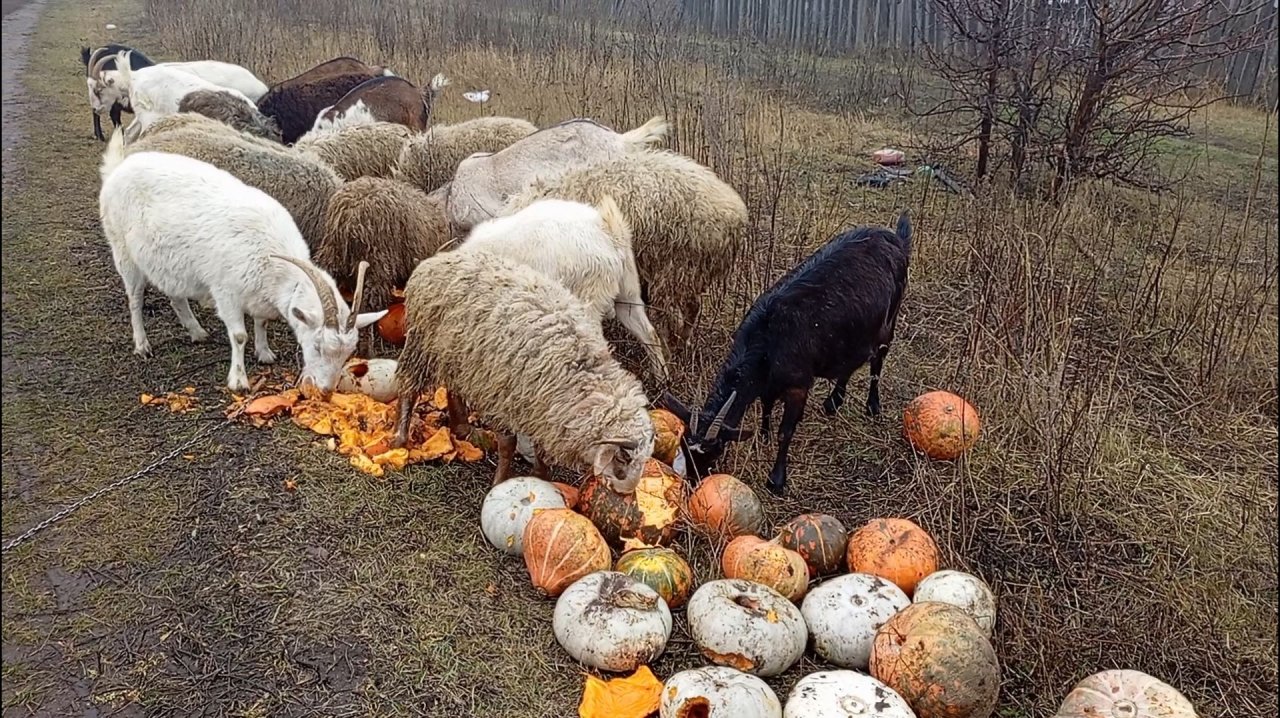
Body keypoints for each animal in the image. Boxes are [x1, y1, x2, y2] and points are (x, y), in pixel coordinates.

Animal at [98, 129, 386, 394]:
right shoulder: (225, 292)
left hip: (168, 262)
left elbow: (262, 322)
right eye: (316, 346)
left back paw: (197, 332)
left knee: (175, 294)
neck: (271, 256)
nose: (325, 390)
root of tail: (118, 168)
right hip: (122, 249)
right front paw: (238, 380)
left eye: (348, 353)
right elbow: (238, 336)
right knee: (134, 299)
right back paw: (142, 344)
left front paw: (265, 353)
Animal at [391, 249, 655, 490]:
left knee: (453, 387)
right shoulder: (502, 399)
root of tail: (440, 257)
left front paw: (541, 476)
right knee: (408, 388)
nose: (626, 492)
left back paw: (462, 428)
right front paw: (499, 482)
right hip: (421, 344)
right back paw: (400, 439)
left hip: (459, 356)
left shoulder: (542, 410)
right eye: (623, 458)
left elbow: (540, 448)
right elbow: (508, 445)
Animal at [506, 148, 748, 348]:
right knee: (693, 308)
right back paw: (681, 343)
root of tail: (735, 214)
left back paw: (672, 345)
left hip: (676, 269)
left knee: (673, 314)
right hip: (691, 273)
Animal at [659, 213, 913, 497]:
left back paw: (872, 406)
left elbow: (786, 431)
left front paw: (776, 479)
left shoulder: (798, 386)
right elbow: (767, 405)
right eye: (683, 444)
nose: (692, 483)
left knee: (878, 360)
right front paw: (764, 435)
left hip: (889, 321)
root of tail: (897, 238)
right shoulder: (768, 383)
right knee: (849, 362)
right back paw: (833, 402)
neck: (768, 340)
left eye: (716, 450)